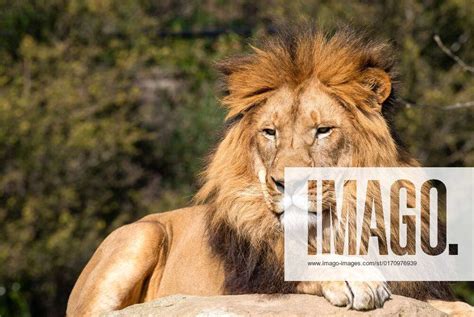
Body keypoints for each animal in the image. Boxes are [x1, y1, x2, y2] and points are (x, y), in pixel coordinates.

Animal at [65, 26, 470, 314]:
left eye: (323, 130)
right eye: (270, 132)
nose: (286, 183)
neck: (337, 224)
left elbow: (458, 306)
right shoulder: (247, 285)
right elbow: (302, 268)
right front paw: (353, 277)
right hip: (141, 235)